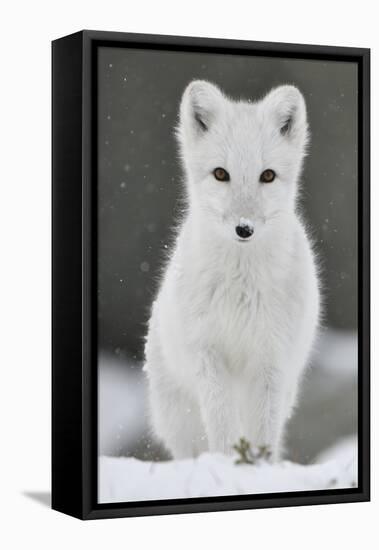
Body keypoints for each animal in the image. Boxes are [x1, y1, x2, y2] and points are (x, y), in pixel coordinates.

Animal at [144, 81, 322, 462]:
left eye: (267, 176)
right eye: (220, 174)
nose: (244, 229)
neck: (242, 287)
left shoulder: (271, 359)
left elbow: (264, 434)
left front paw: (258, 468)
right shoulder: (209, 356)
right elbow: (223, 427)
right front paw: (228, 465)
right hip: (180, 418)